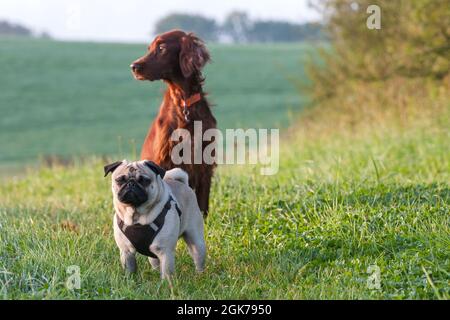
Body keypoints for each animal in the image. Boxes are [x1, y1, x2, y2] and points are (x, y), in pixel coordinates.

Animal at [130, 30, 216, 216]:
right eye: (149, 48)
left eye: (161, 48)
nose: (133, 66)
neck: (183, 103)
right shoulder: (164, 159)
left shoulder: (205, 164)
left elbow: (202, 208)